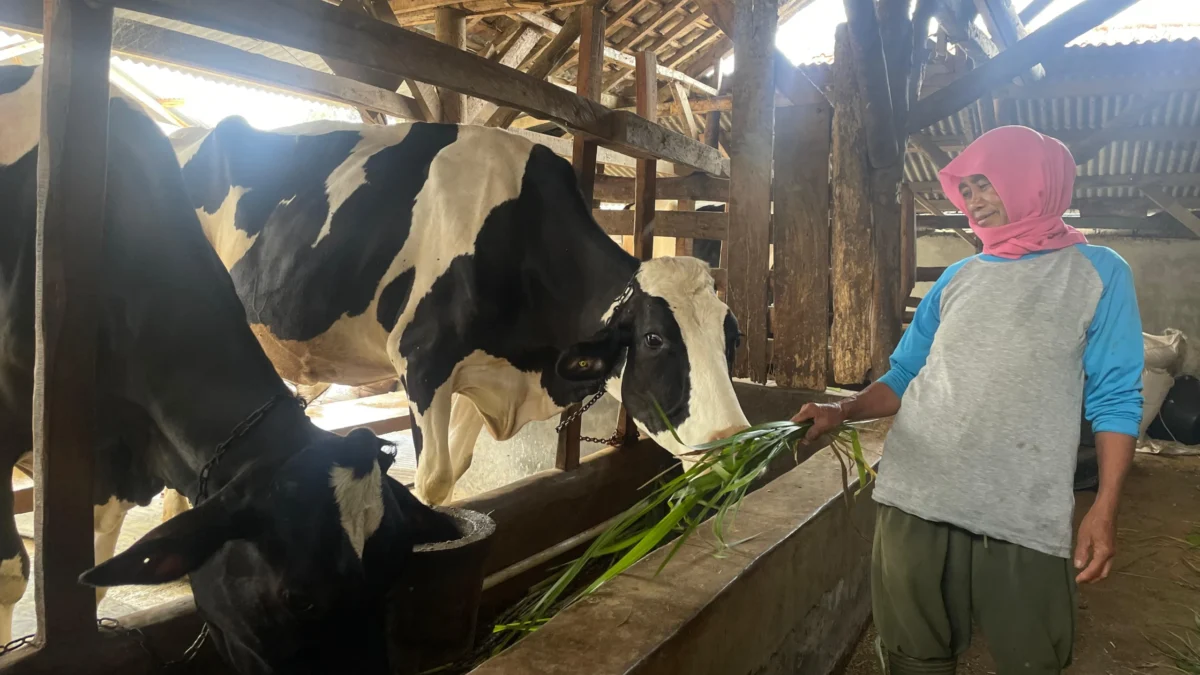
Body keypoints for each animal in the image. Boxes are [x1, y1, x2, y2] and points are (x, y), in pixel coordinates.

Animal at [169, 117, 748, 504]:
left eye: (732, 339)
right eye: (654, 338)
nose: (736, 448)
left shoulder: (481, 371)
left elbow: (460, 466)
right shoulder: (421, 361)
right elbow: (433, 479)